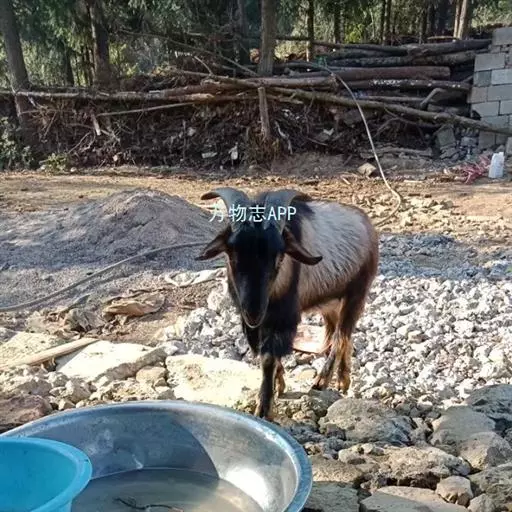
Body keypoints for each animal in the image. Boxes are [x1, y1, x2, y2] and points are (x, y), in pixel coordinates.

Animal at [196, 187, 379, 421]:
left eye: (279, 257)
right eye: (232, 256)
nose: (253, 313)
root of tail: (367, 223)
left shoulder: (282, 317)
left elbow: (268, 357)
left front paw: (264, 408)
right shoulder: (255, 322)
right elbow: (265, 355)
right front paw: (279, 382)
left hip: (356, 294)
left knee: (340, 337)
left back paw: (322, 381)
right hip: (330, 304)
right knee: (343, 336)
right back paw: (343, 379)